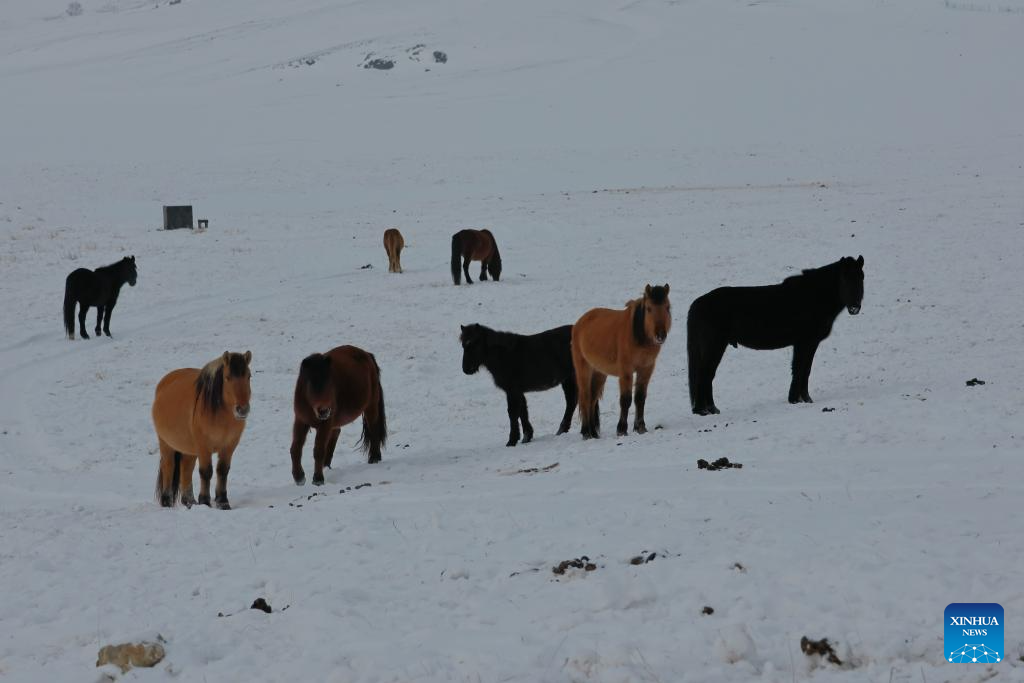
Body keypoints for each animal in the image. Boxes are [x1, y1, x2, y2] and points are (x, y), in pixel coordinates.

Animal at [152, 351, 252, 509]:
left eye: (249, 376)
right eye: (227, 377)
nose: (242, 409)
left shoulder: (229, 445)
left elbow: (222, 470)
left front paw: (223, 502)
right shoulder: (204, 446)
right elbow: (206, 472)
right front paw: (205, 501)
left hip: (189, 448)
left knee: (186, 469)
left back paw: (189, 502)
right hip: (166, 443)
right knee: (169, 466)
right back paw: (167, 501)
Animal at [290, 345, 387, 486]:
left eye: (329, 383)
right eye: (311, 383)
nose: (324, 411)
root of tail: (367, 355)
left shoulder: (325, 424)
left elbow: (318, 450)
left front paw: (318, 479)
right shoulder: (301, 420)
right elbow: (295, 448)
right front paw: (299, 477)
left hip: (371, 406)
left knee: (374, 429)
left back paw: (374, 458)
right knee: (336, 433)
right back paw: (326, 466)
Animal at [571, 285, 672, 439]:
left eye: (667, 307)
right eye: (649, 308)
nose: (660, 335)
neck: (638, 336)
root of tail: (579, 323)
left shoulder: (646, 369)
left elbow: (640, 398)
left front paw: (640, 427)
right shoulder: (626, 371)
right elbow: (626, 400)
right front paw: (622, 429)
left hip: (599, 373)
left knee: (592, 400)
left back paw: (594, 433)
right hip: (583, 369)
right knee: (585, 398)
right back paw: (586, 432)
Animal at [687, 255, 864, 415]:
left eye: (861, 278)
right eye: (844, 279)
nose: (855, 307)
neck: (813, 296)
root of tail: (698, 304)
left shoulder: (810, 343)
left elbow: (806, 370)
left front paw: (805, 399)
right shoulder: (804, 342)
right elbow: (799, 369)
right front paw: (795, 400)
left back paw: (712, 409)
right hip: (715, 346)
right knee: (705, 375)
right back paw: (703, 411)